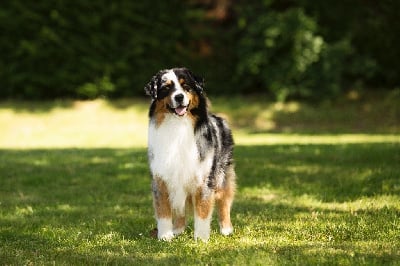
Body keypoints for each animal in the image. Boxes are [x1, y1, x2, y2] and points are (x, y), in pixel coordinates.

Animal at [145, 67, 236, 241]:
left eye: (186, 86)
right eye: (166, 88)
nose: (179, 97)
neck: (178, 125)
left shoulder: (204, 178)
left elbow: (202, 211)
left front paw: (200, 238)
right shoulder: (161, 179)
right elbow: (164, 211)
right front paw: (165, 236)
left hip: (223, 176)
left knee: (224, 201)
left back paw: (226, 229)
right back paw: (178, 229)